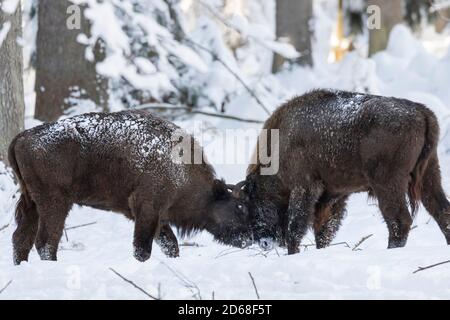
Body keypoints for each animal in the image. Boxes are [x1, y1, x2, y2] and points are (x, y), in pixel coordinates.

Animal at [8, 110, 251, 264]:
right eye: (237, 209)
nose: (249, 239)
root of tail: (21, 137)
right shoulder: (147, 209)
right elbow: (142, 249)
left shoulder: (157, 216)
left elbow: (170, 244)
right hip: (55, 203)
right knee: (45, 242)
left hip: (31, 202)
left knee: (21, 238)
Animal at [236, 89, 450, 254]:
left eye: (254, 203)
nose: (263, 242)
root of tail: (422, 112)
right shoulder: (334, 195)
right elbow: (323, 230)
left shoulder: (304, 187)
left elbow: (295, 227)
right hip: (430, 175)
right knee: (442, 212)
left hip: (387, 183)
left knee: (399, 220)